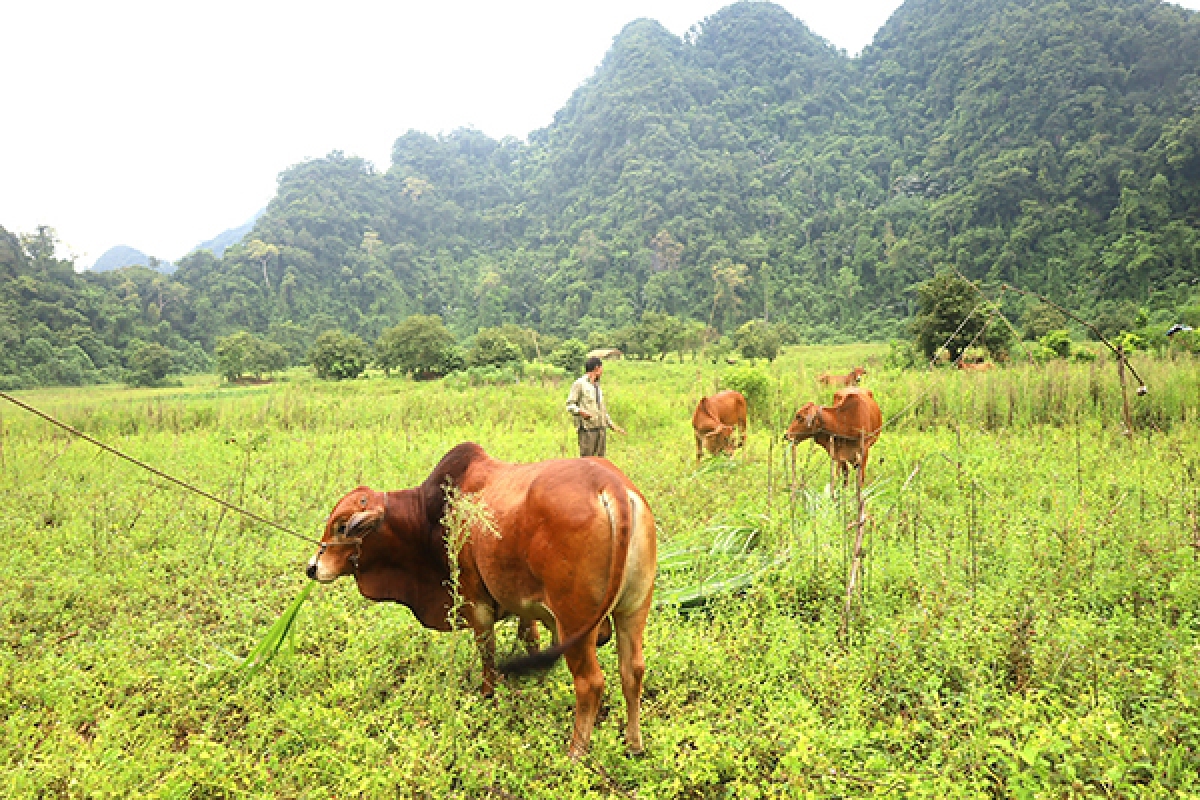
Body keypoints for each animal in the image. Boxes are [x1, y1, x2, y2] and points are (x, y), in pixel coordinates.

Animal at [302, 443, 657, 762]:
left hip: (575, 622)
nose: (312, 567)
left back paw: (576, 753)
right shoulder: (523, 604)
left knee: (590, 683)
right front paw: (539, 683)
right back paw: (633, 745)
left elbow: (487, 651)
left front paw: (488, 694)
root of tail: (611, 484)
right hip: (633, 609)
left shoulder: (476, 602)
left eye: (342, 526)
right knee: (632, 671)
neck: (429, 517)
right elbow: (530, 640)